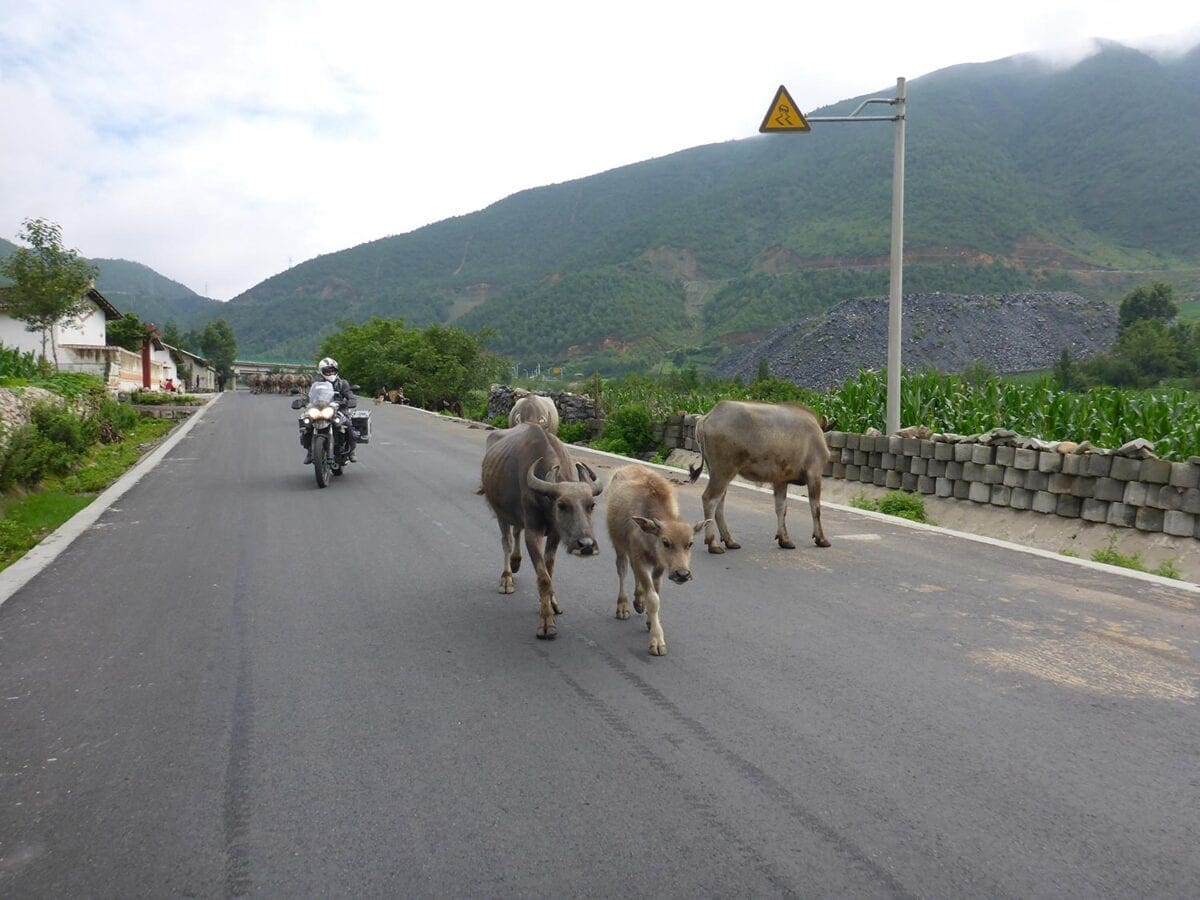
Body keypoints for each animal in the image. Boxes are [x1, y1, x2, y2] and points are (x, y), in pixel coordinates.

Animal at [480, 424, 604, 643]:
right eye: (562, 505)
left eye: (591, 505)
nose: (586, 545)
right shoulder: (533, 532)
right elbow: (543, 578)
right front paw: (546, 624)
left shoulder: (555, 534)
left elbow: (549, 570)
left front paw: (552, 603)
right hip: (500, 513)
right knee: (507, 541)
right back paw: (507, 577)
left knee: (516, 531)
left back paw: (516, 562)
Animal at [604, 465, 705, 657]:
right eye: (666, 542)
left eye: (690, 543)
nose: (682, 574)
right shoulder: (639, 559)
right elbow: (653, 599)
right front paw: (657, 640)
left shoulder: (659, 566)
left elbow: (655, 593)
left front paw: (650, 621)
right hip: (618, 544)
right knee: (622, 570)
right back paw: (623, 606)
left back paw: (638, 602)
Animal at [691, 400, 830, 549]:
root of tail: (706, 418)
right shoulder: (814, 474)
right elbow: (815, 508)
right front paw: (821, 538)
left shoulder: (780, 481)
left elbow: (781, 508)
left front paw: (784, 540)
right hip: (723, 472)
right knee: (710, 499)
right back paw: (713, 543)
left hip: (719, 473)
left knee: (719, 502)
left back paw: (729, 540)